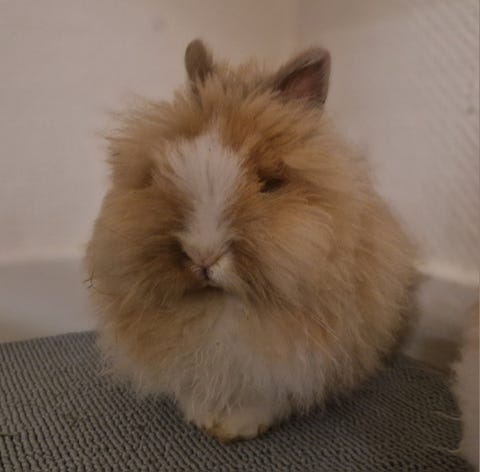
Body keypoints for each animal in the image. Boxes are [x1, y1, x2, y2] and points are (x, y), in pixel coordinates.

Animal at [85, 39, 416, 441]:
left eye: (270, 184)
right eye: (157, 177)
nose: (203, 256)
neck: (225, 309)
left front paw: (241, 427)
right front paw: (203, 418)